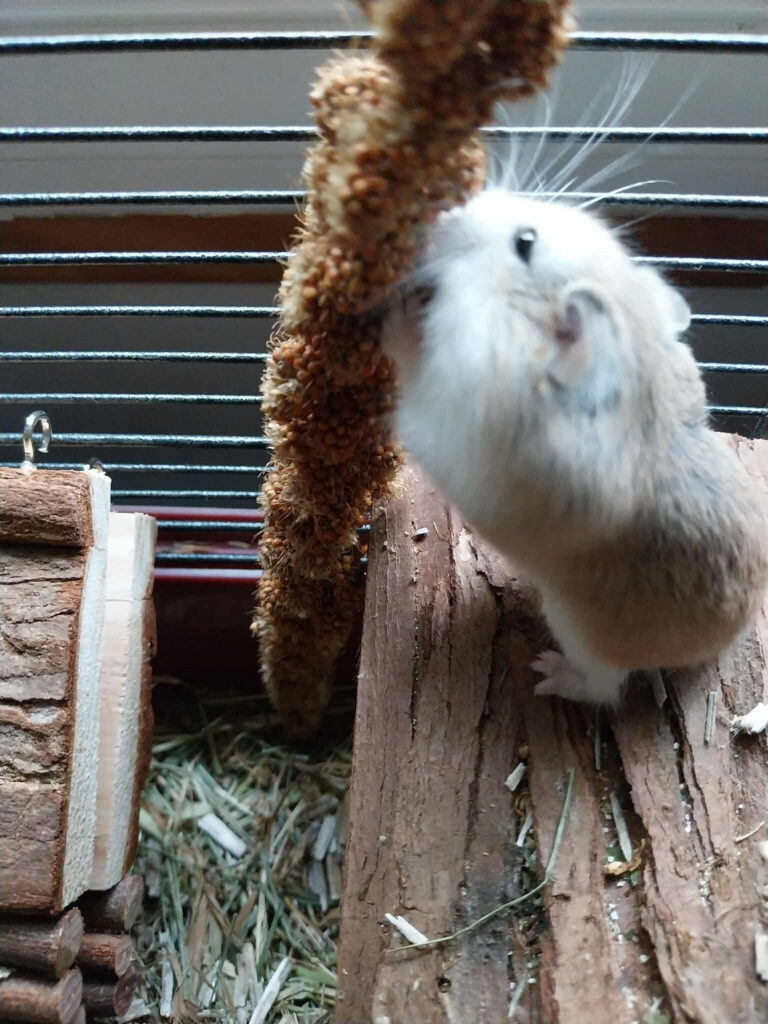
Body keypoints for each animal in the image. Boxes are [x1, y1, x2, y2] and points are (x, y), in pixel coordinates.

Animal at [382, 189, 768, 705]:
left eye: (525, 242)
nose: (446, 212)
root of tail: (724, 641)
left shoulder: (454, 426)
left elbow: (416, 370)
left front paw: (398, 318)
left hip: (582, 633)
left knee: (606, 689)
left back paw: (548, 672)